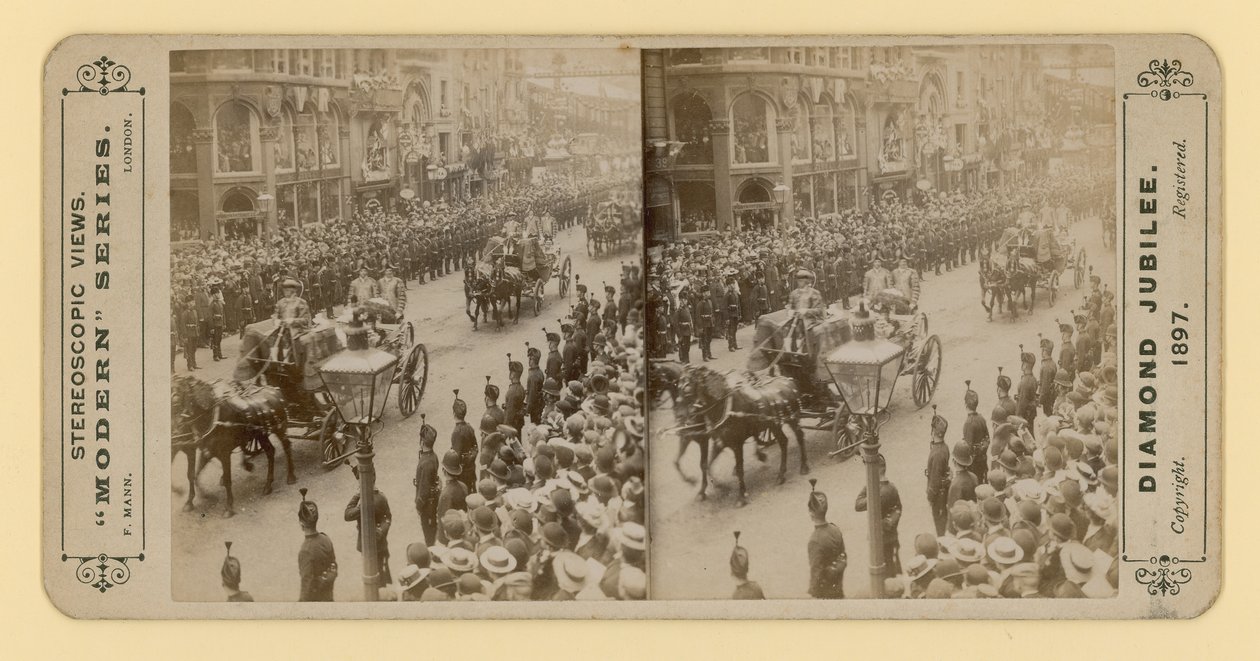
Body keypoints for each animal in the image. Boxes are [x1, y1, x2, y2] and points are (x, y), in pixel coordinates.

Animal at [170, 372, 294, 518]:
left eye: (176, 398)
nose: (176, 430)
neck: (212, 417)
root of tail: (274, 389)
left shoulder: (222, 453)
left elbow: (227, 480)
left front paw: (228, 508)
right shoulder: (206, 450)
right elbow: (194, 474)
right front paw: (195, 499)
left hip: (280, 428)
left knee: (286, 446)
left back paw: (290, 476)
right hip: (261, 435)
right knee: (270, 451)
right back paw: (267, 485)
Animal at [680, 362, 806, 503]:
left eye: (690, 380)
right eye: (680, 381)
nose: (687, 422)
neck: (725, 407)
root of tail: (788, 380)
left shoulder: (737, 444)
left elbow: (740, 468)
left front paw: (741, 496)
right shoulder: (719, 442)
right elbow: (706, 465)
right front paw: (713, 488)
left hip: (792, 419)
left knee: (800, 436)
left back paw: (803, 467)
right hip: (774, 425)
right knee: (783, 442)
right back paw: (780, 475)